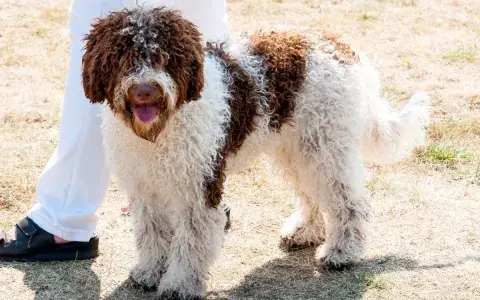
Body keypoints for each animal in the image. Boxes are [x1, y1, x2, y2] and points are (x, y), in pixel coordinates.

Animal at [80, 7, 430, 300]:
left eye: (165, 57)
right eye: (121, 57)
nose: (144, 90)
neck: (159, 132)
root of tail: (339, 46)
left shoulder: (199, 189)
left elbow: (190, 243)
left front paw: (179, 285)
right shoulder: (146, 189)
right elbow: (151, 235)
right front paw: (150, 273)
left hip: (325, 146)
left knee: (349, 201)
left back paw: (341, 252)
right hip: (297, 148)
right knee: (311, 194)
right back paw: (305, 232)